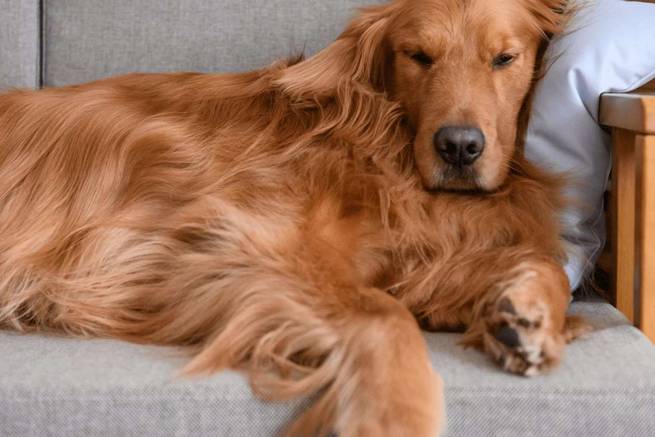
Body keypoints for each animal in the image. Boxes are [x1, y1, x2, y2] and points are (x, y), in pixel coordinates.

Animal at [0, 0, 588, 434]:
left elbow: (545, 265)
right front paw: (396, 414)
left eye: (504, 59)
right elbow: (385, 315)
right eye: (418, 56)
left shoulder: (428, 262)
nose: (459, 147)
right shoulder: (242, 242)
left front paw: (525, 314)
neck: (383, 150)